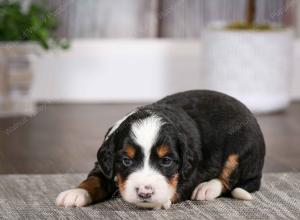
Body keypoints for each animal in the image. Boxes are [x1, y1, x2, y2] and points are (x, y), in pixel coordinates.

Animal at [55, 90, 264, 210]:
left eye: (166, 161)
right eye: (126, 161)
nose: (144, 193)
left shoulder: (192, 171)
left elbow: (177, 187)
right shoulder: (103, 165)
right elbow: (94, 179)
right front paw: (76, 193)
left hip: (241, 149)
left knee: (230, 179)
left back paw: (206, 188)